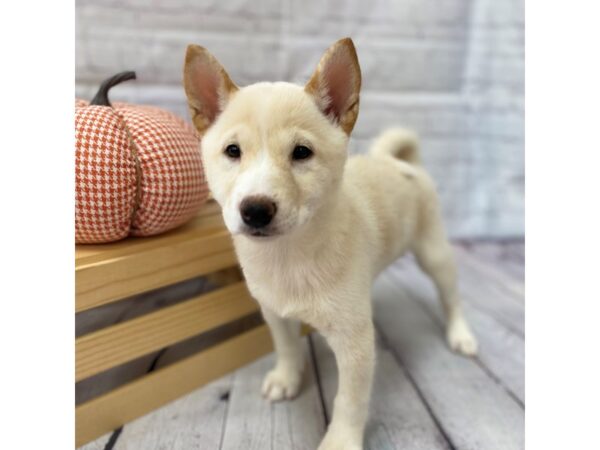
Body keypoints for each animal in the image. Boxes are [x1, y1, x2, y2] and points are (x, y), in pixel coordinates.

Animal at [183, 37, 478, 448]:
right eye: (232, 151)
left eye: (301, 152)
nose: (255, 210)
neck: (288, 257)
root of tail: (401, 162)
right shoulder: (274, 313)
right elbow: (288, 348)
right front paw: (287, 378)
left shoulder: (355, 343)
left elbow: (349, 401)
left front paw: (341, 440)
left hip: (433, 254)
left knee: (451, 297)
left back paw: (461, 334)